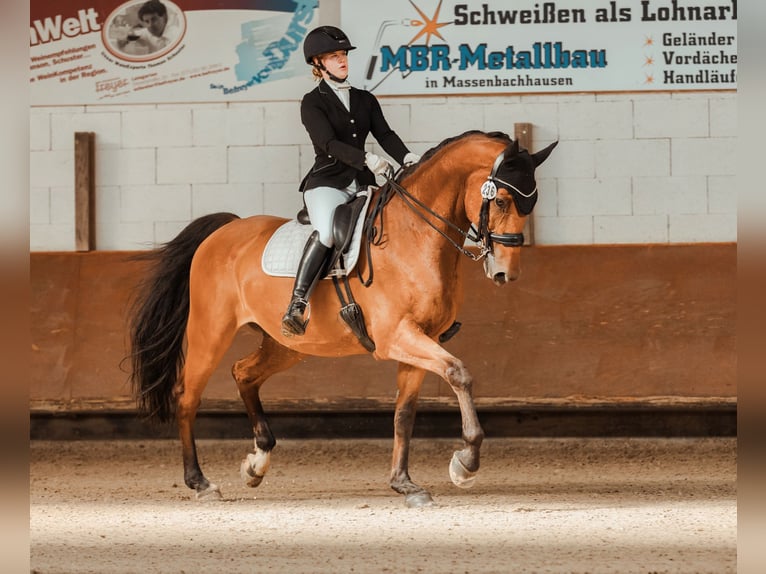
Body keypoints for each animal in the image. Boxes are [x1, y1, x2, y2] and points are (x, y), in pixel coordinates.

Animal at [127, 130, 560, 508]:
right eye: (500, 200)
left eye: (531, 203)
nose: (505, 273)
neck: (415, 235)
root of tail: (224, 230)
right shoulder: (397, 337)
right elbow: (459, 373)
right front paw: (465, 464)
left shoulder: (420, 340)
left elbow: (404, 414)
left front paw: (404, 484)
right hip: (210, 331)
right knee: (187, 396)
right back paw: (200, 483)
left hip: (289, 344)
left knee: (243, 373)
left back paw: (257, 463)